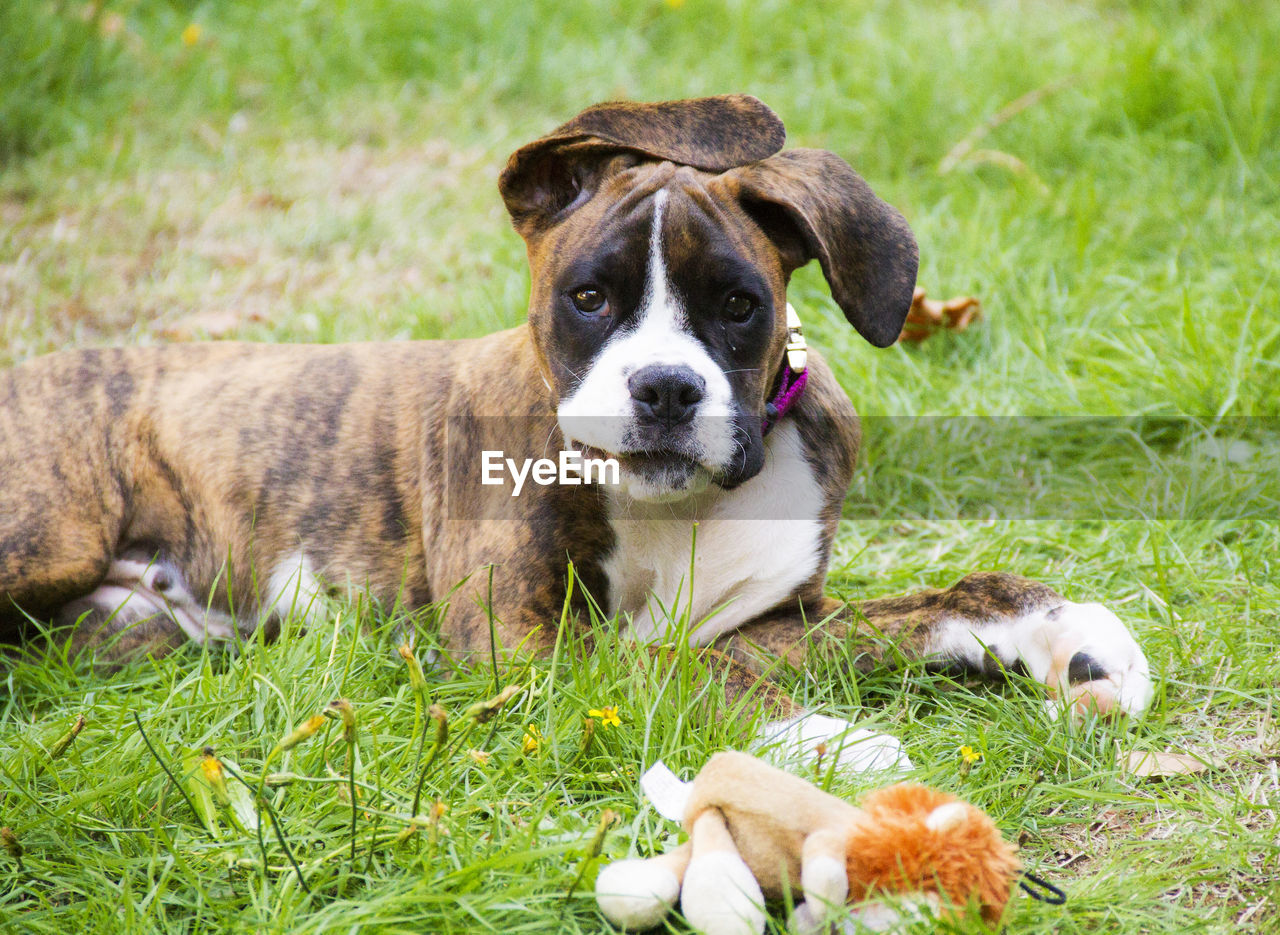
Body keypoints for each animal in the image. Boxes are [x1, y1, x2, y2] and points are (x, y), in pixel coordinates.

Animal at [0, 94, 1152, 737]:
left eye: (739, 304)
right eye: (587, 298)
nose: (665, 389)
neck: (675, 509)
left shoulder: (780, 616)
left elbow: (911, 605)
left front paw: (1062, 634)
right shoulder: (528, 645)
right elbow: (687, 669)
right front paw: (830, 747)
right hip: (48, 533)